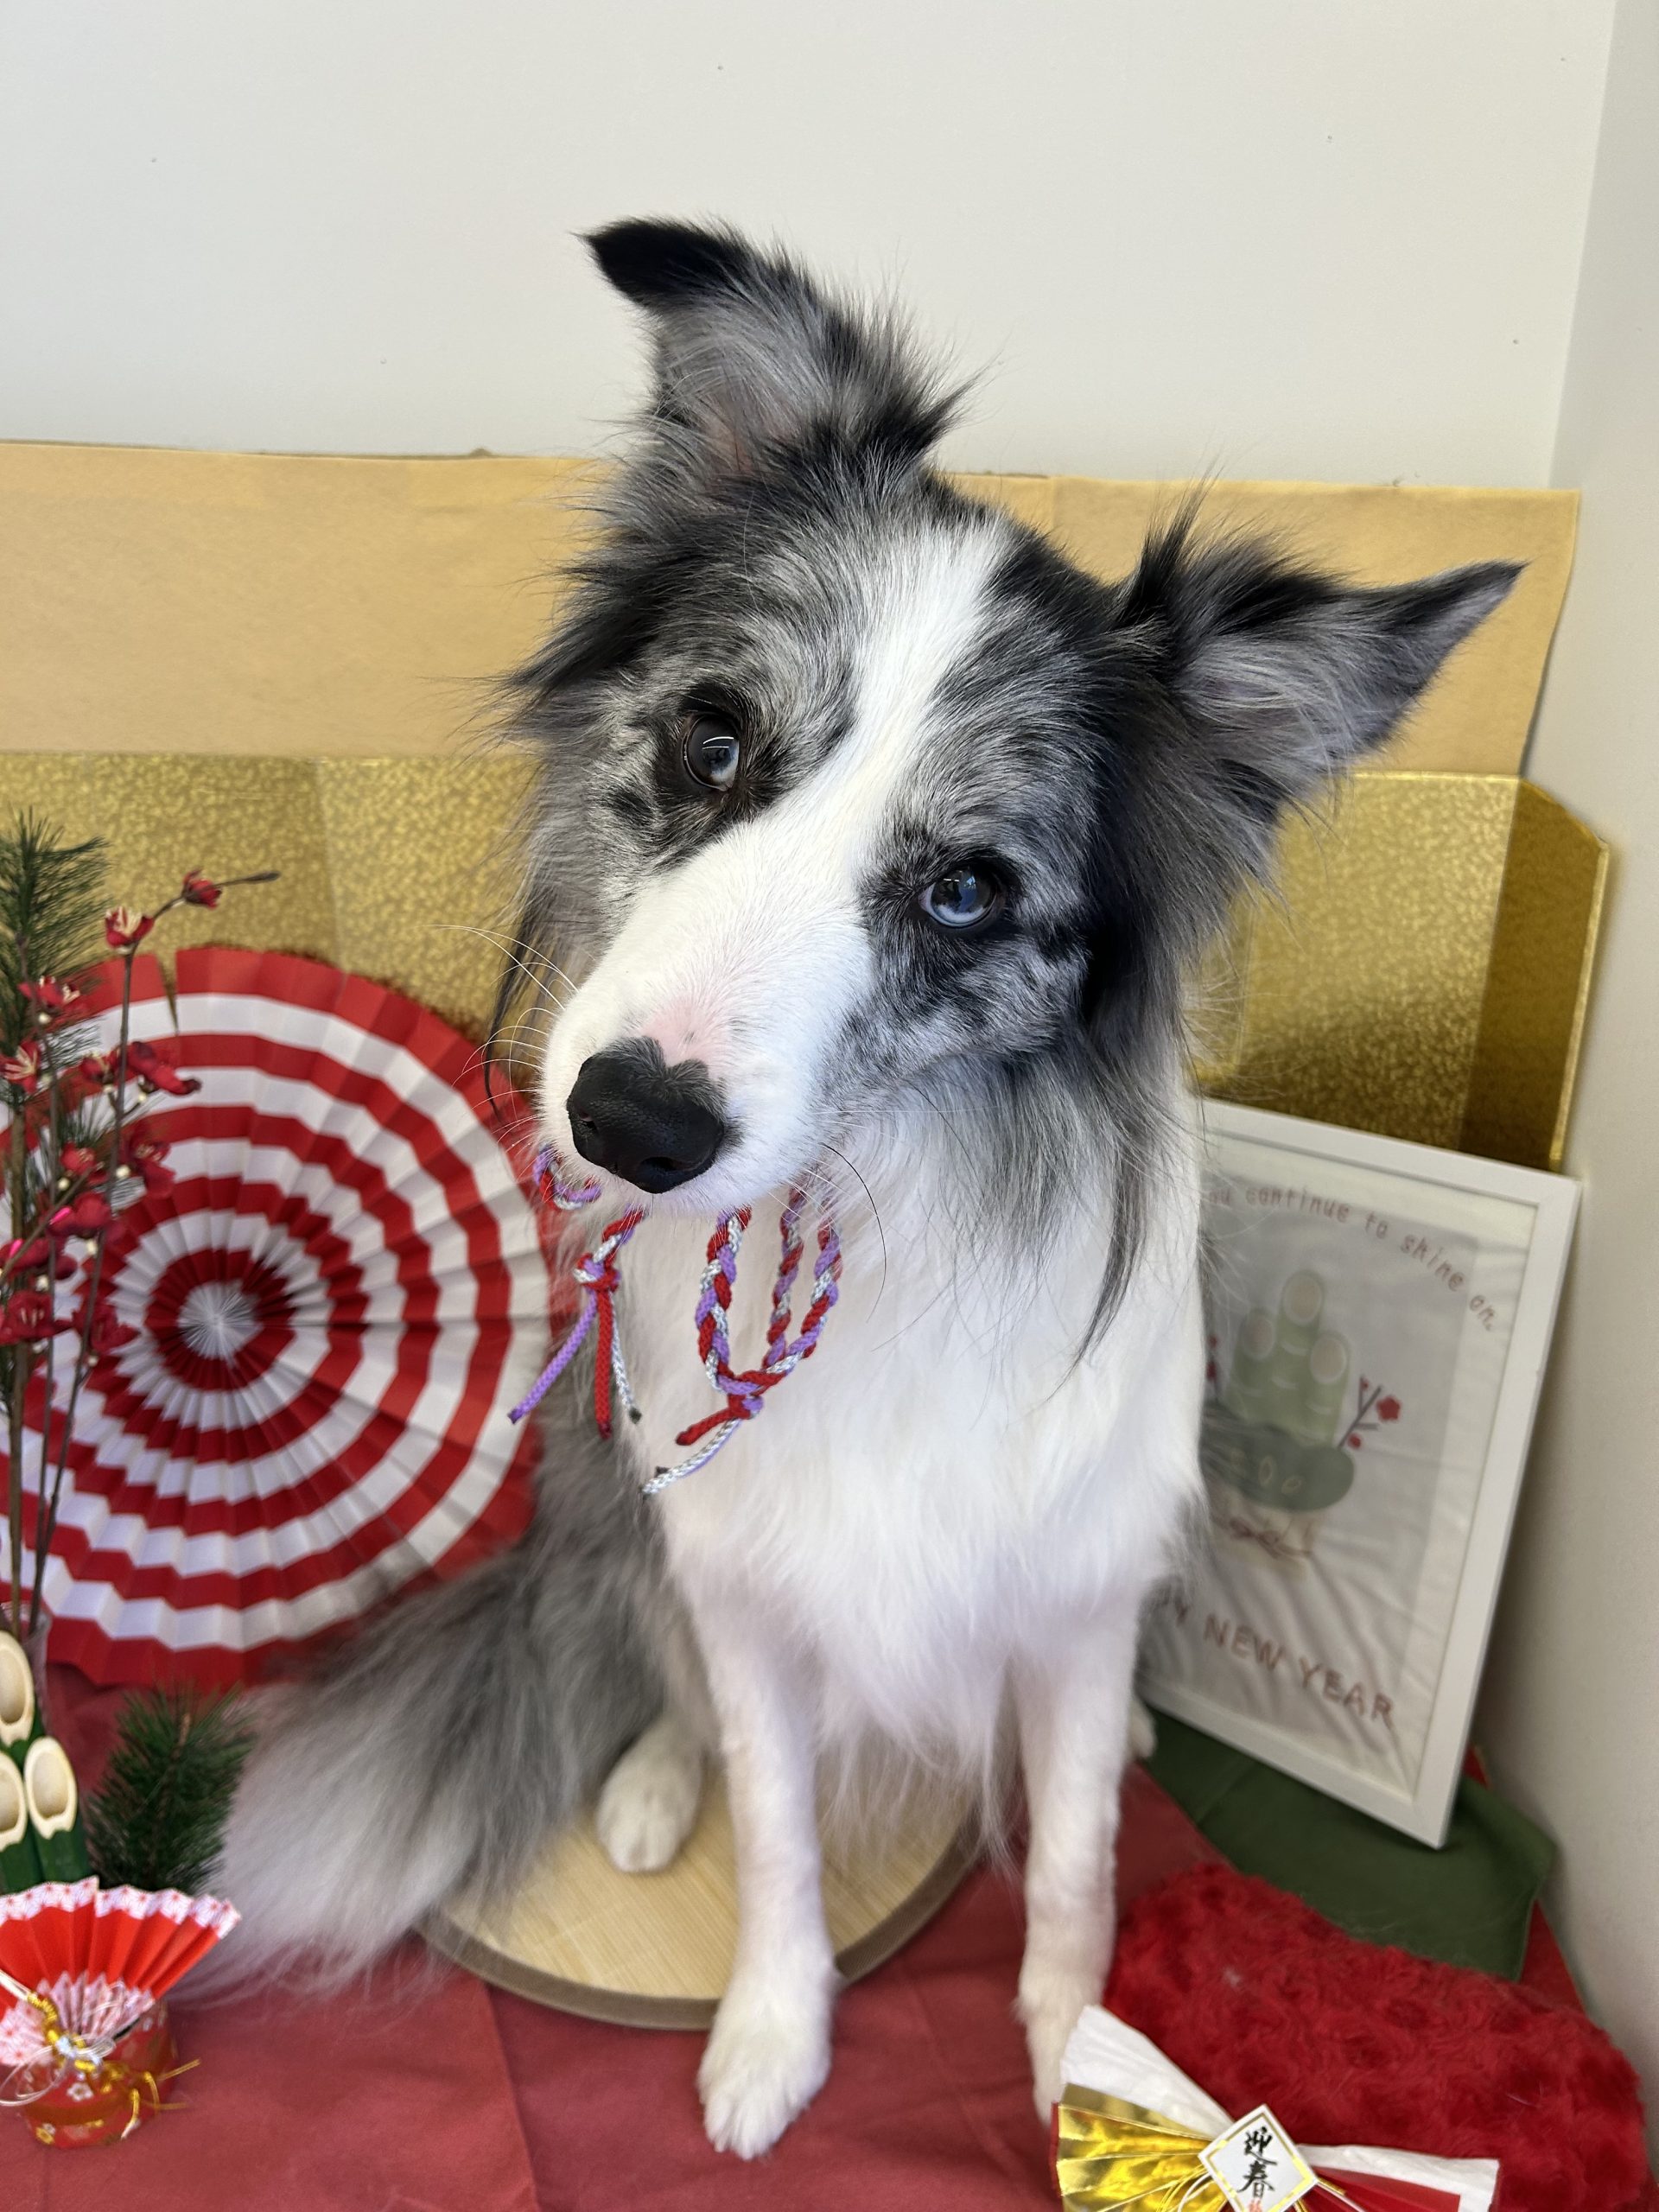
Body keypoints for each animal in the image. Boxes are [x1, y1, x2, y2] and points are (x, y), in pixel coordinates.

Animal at [217, 220, 1515, 2157]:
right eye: (714, 740)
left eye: (968, 889)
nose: (631, 1123)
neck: (879, 1203)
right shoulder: (749, 1592)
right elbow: (776, 1829)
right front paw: (773, 2032)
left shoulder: (1068, 1594)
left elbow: (1078, 1858)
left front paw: (1076, 2048)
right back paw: (650, 1778)